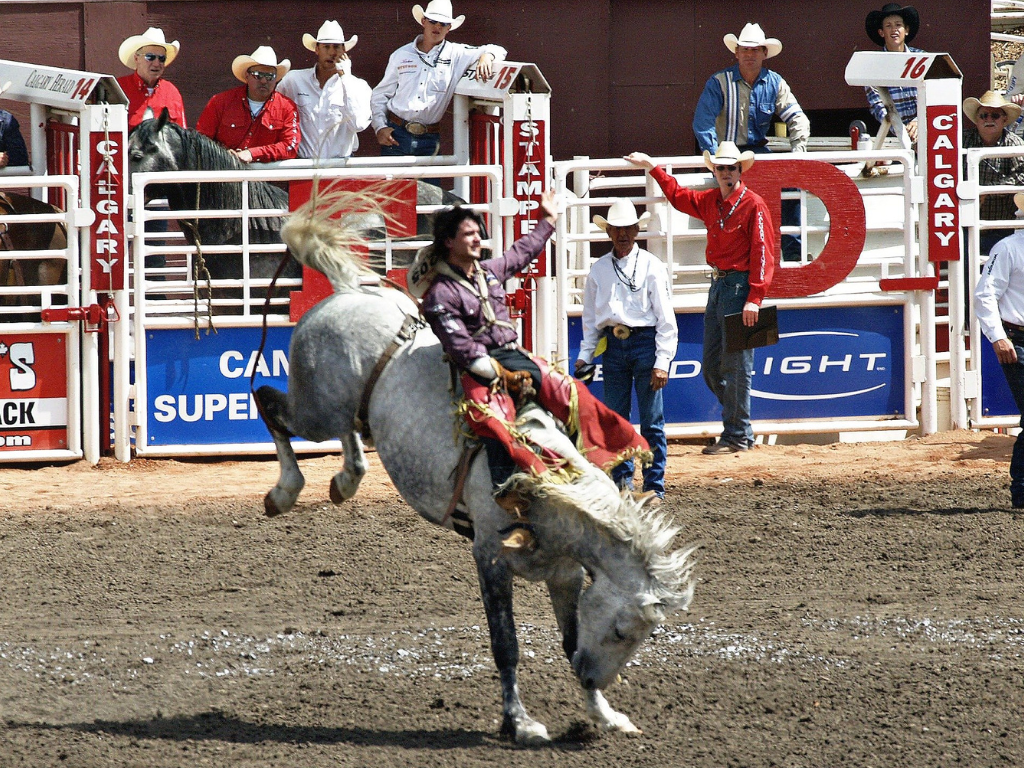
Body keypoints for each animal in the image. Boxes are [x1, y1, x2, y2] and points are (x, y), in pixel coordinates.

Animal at [256, 192, 700, 745]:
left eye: (639, 638)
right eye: (622, 630)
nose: (590, 675)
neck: (547, 487)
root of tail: (346, 292)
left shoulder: (565, 573)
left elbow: (568, 635)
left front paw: (604, 714)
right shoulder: (489, 556)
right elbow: (506, 644)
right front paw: (521, 722)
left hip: (345, 411)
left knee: (346, 433)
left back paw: (345, 479)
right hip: (314, 407)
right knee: (270, 402)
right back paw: (286, 491)